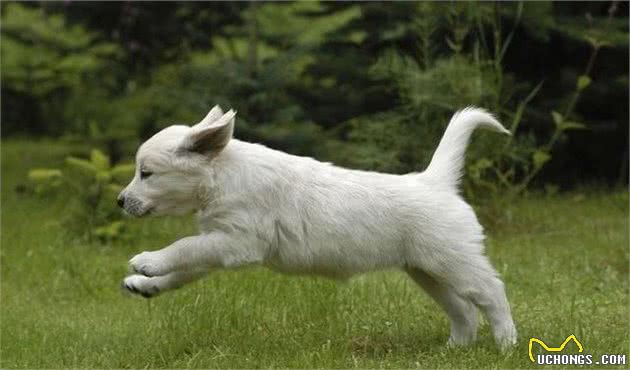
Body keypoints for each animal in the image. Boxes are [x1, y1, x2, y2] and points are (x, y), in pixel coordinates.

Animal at [118, 105, 520, 348]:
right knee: (463, 310)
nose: (120, 201)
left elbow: (183, 246)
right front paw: (146, 284)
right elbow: (185, 267)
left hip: (455, 261)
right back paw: (455, 348)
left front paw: (148, 261)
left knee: (491, 293)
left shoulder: (237, 242)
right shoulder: (219, 242)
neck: (222, 175)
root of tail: (434, 181)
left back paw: (507, 343)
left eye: (146, 173)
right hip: (427, 270)